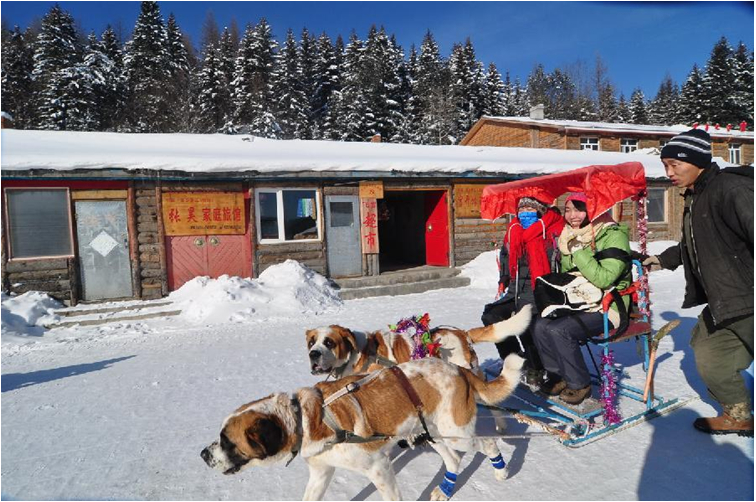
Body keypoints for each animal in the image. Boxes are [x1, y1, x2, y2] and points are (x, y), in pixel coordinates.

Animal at [198, 354, 524, 500]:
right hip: (430, 432)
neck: (304, 419)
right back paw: (444, 491)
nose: (203, 454)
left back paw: (500, 470)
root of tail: (459, 369)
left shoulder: (380, 468)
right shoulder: (321, 472)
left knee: (486, 443)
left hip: (456, 433)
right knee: (454, 460)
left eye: (226, 441)